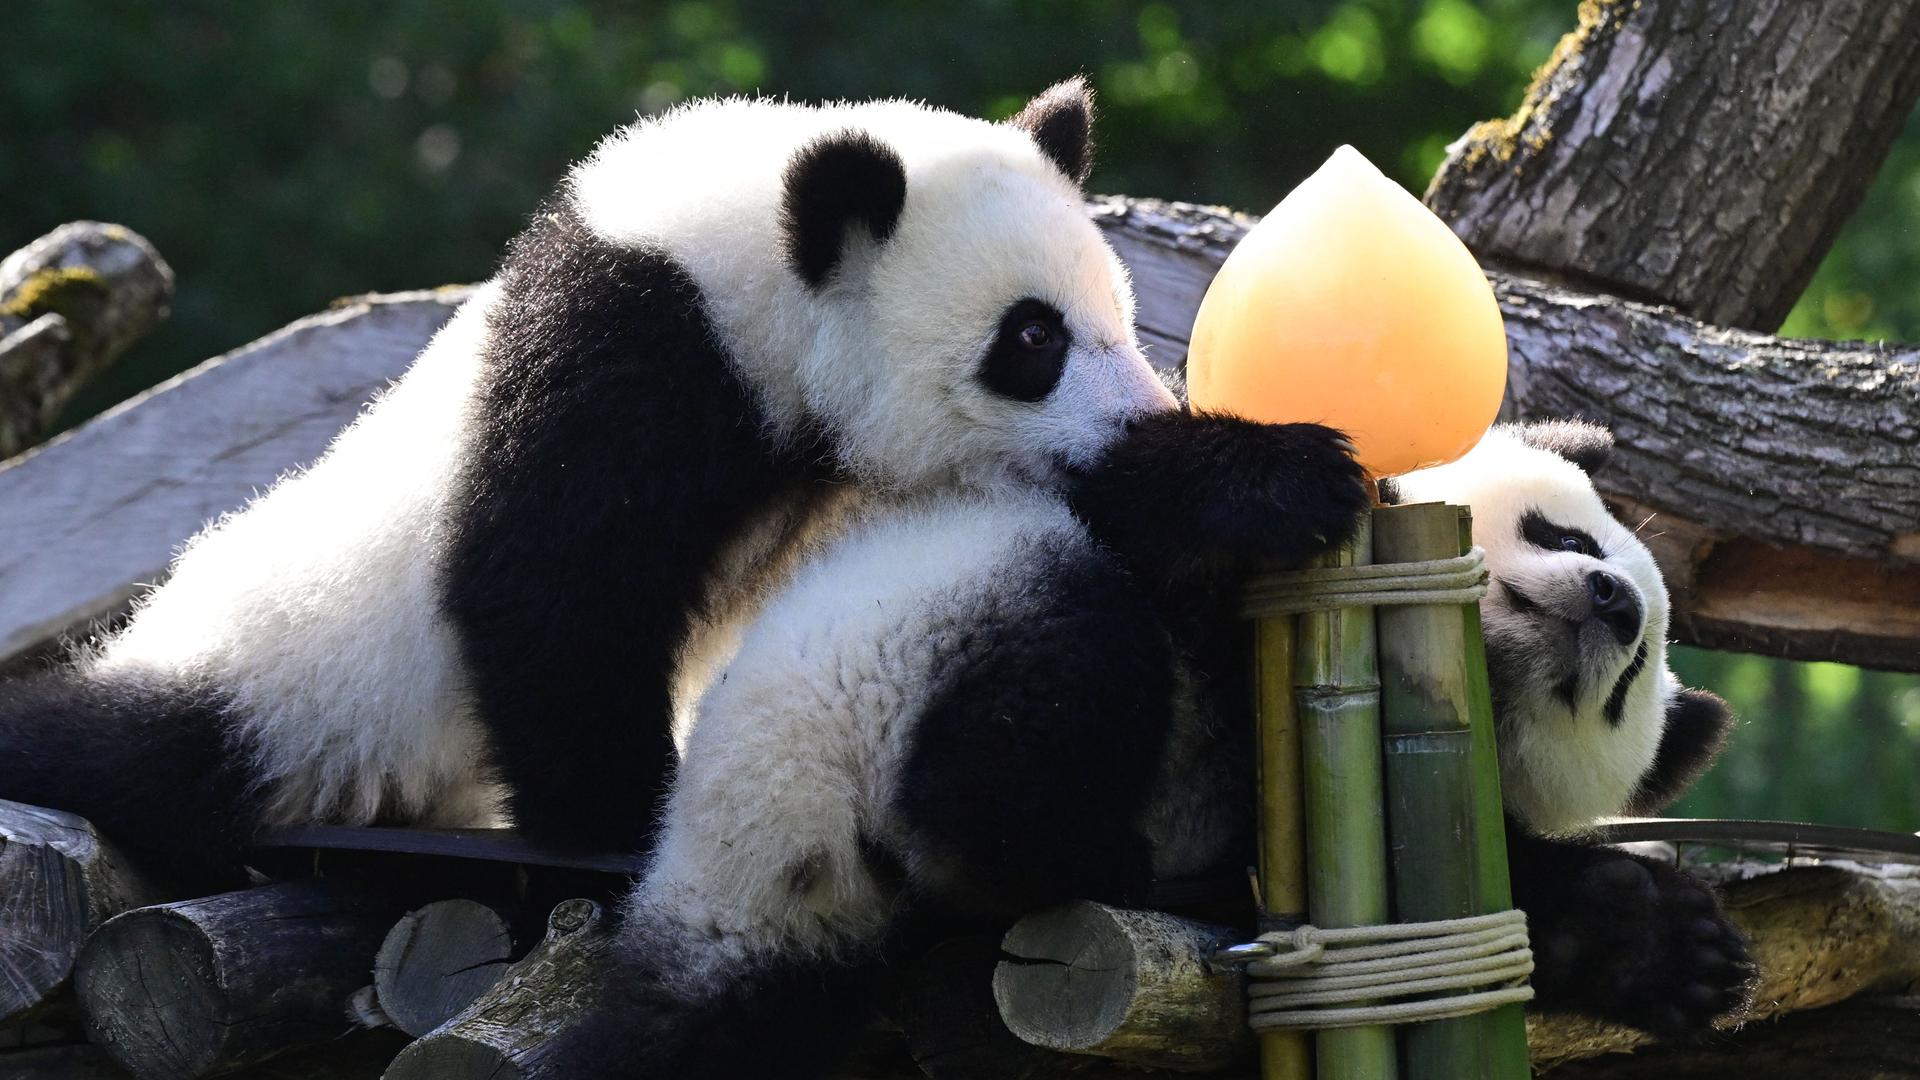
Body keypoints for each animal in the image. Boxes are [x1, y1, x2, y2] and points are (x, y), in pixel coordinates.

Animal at [0, 79, 1179, 886]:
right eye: (1032, 338)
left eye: (1120, 313)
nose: (1145, 426)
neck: (751, 261)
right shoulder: (636, 354)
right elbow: (546, 587)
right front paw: (622, 818)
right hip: (283, 691)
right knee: (120, 752)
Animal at [544, 417, 1750, 1079]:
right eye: (1563, 531)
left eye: (1629, 683)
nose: (1612, 603)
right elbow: (1145, 501)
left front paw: (1671, 952)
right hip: (884, 663)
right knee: (1059, 658)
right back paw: (1063, 850)